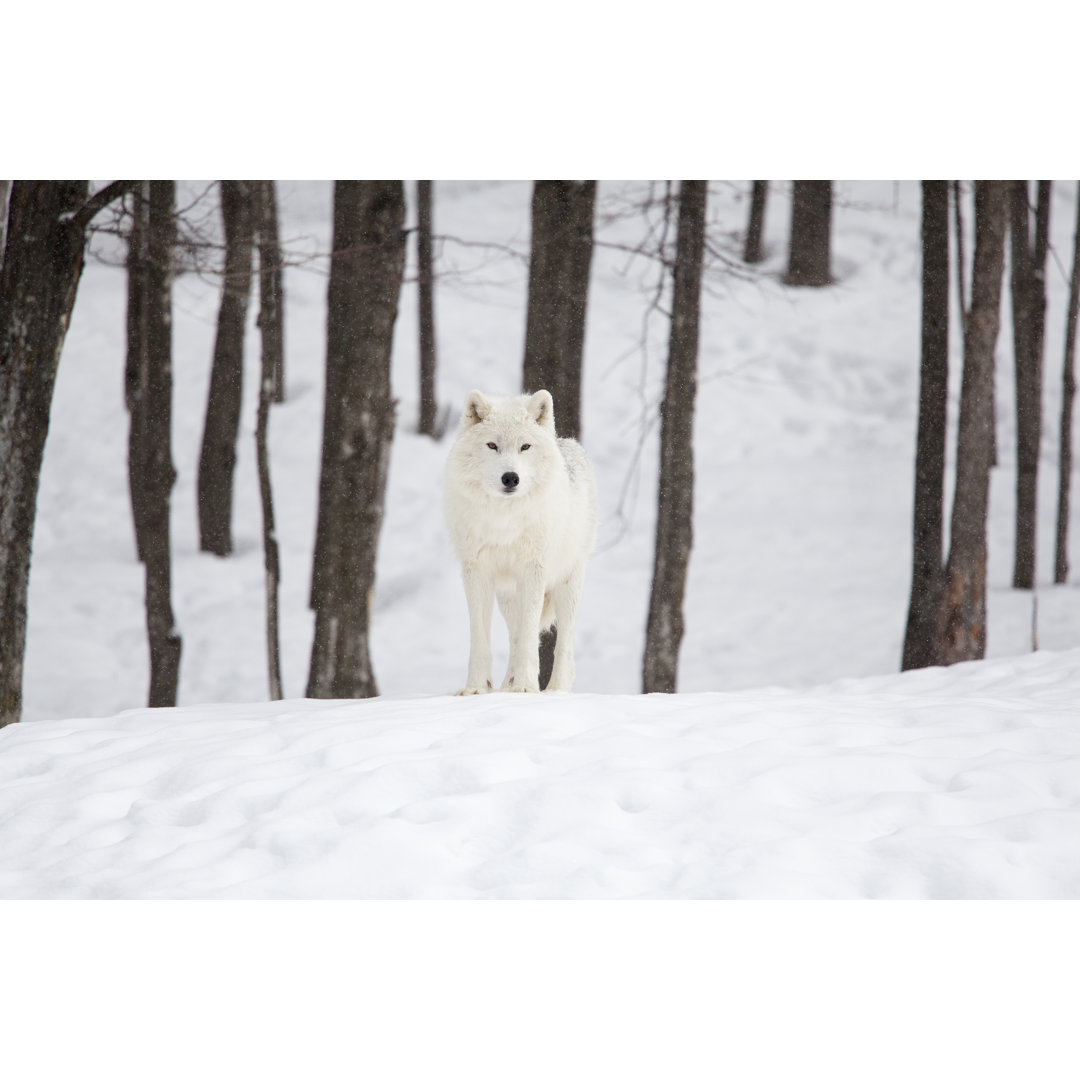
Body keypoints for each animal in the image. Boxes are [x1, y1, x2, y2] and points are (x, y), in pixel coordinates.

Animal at [444, 388, 600, 691]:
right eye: (492, 445)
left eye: (525, 447)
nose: (510, 478)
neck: (504, 520)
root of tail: (572, 444)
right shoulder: (476, 572)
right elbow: (482, 639)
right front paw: (476, 688)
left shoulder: (533, 570)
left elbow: (530, 637)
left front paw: (526, 687)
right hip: (507, 597)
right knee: (514, 638)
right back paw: (507, 685)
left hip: (567, 585)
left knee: (563, 644)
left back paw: (555, 690)